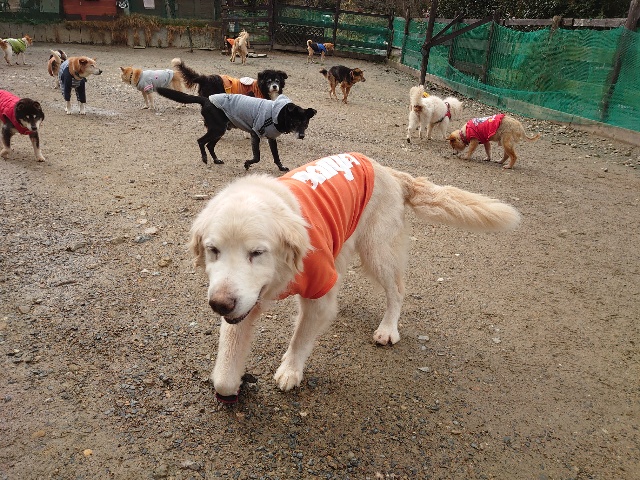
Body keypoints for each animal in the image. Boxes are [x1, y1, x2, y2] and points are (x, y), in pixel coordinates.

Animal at [156, 88, 316, 172]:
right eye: (296, 122)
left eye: (306, 123)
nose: (302, 136)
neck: (277, 113)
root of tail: (206, 99)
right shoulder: (255, 134)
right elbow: (257, 157)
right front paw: (247, 164)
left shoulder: (271, 138)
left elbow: (276, 156)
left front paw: (281, 167)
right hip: (217, 129)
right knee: (201, 141)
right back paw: (205, 158)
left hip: (219, 130)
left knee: (210, 145)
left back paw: (216, 160)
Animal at [187, 152, 521, 403]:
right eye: (213, 250)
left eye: (257, 252)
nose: (219, 305)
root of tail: (390, 172)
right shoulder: (244, 302)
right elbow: (225, 374)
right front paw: (235, 383)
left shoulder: (313, 290)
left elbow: (301, 337)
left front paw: (290, 371)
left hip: (377, 252)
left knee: (397, 290)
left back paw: (388, 328)